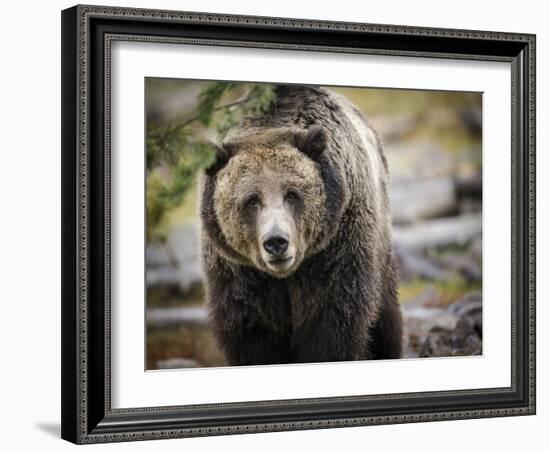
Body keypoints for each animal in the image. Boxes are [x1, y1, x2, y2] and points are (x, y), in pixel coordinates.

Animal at [201, 84, 404, 366]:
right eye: (251, 200)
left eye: (292, 194)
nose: (276, 242)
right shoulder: (239, 272)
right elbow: (253, 332)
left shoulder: (336, 248)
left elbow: (331, 322)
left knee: (386, 319)